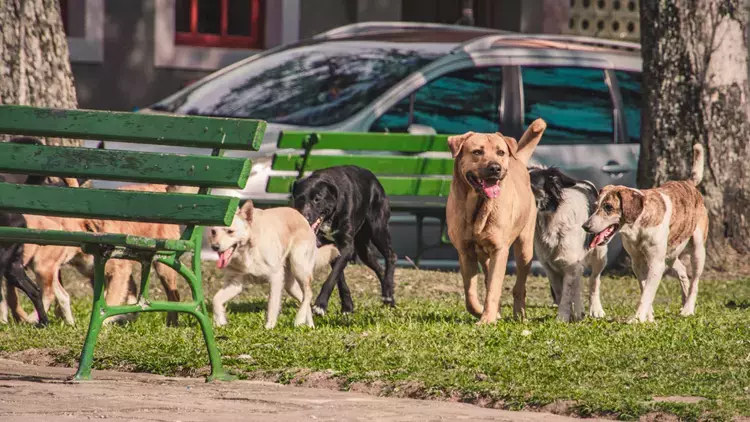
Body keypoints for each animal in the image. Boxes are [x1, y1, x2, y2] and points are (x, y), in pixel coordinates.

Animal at [292, 165, 400, 314]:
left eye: (317, 199)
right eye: (298, 199)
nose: (303, 218)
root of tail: (375, 180)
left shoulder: (346, 247)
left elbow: (332, 277)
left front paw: (320, 305)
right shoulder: (333, 249)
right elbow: (339, 278)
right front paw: (347, 306)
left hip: (378, 229)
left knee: (391, 255)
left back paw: (388, 293)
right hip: (363, 249)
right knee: (379, 267)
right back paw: (388, 297)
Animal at [446, 118, 548, 324]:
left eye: (500, 152)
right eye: (477, 152)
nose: (495, 168)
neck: (478, 206)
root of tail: (518, 160)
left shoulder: (500, 250)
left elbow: (494, 287)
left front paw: (487, 319)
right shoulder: (465, 251)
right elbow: (470, 294)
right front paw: (481, 311)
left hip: (524, 248)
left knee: (519, 286)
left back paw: (519, 314)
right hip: (485, 255)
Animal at [532, 166, 608, 322]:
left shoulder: (570, 265)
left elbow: (567, 295)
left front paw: (562, 318)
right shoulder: (550, 268)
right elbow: (560, 292)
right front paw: (570, 315)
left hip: (599, 254)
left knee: (594, 280)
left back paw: (596, 310)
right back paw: (580, 312)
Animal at [584, 145, 708, 324]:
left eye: (608, 207)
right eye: (595, 206)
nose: (585, 226)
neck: (637, 227)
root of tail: (688, 183)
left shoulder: (656, 263)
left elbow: (647, 292)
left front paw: (637, 319)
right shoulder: (637, 262)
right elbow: (644, 288)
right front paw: (648, 316)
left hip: (697, 249)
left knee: (695, 281)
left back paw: (688, 308)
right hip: (670, 253)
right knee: (682, 269)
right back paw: (684, 302)